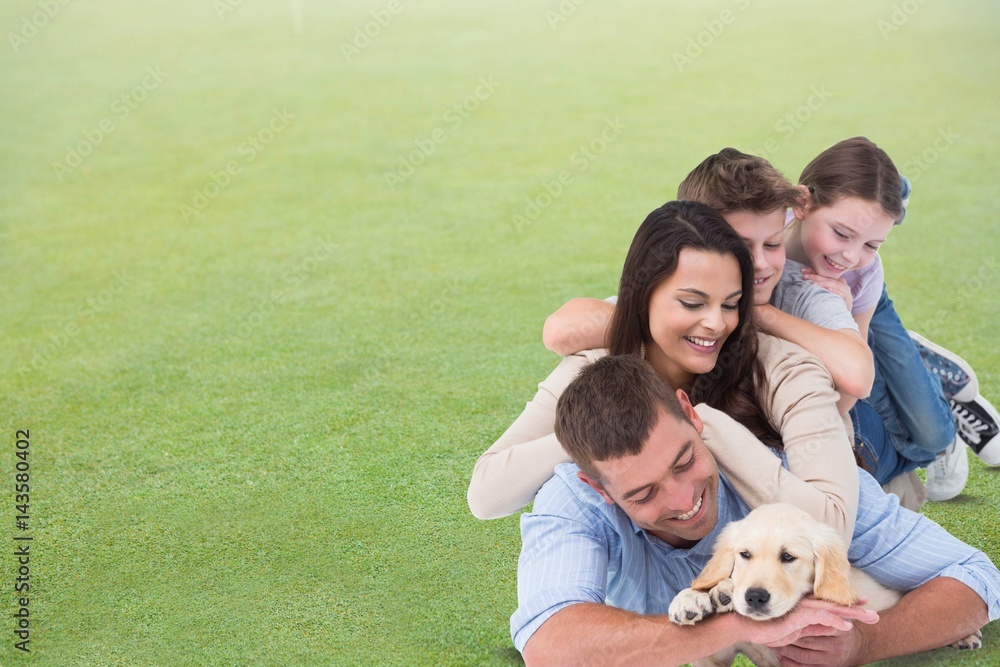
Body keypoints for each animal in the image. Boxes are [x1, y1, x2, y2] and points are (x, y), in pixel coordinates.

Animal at [668, 504, 980, 664]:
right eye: (745, 554)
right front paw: (697, 597)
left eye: (788, 557)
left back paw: (966, 635)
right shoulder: (718, 655)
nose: (755, 597)